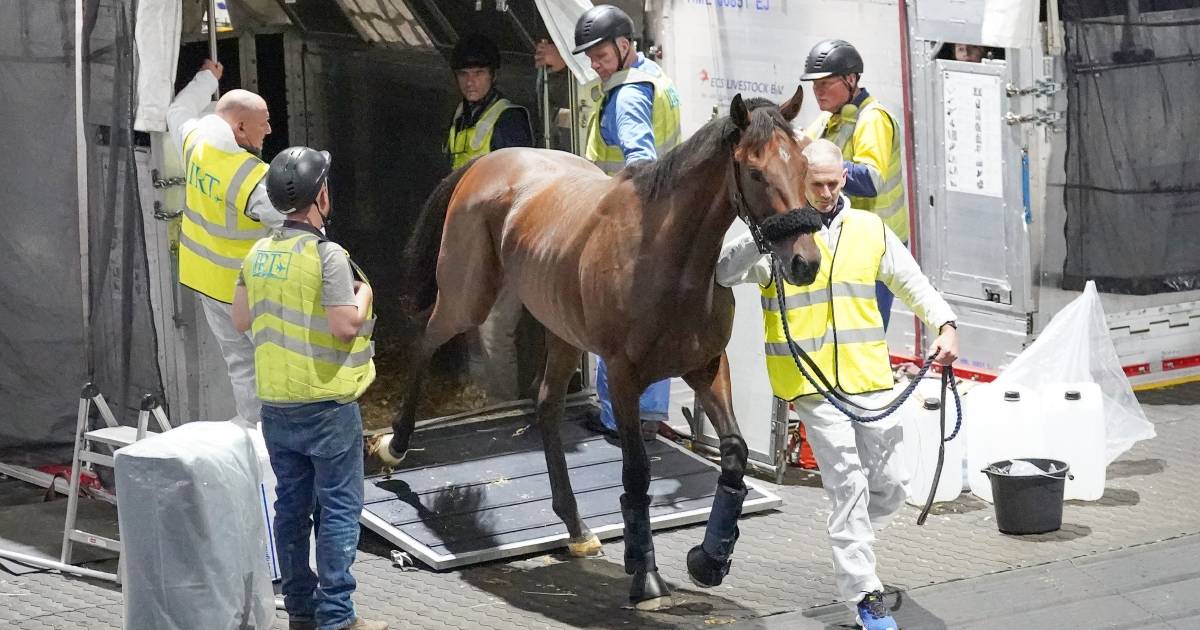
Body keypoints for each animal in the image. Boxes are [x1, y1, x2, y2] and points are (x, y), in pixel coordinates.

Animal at [376, 90, 825, 607]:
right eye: (754, 171)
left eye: (802, 166)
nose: (805, 262)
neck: (669, 262)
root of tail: (489, 162)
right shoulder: (624, 376)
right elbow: (636, 473)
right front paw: (644, 574)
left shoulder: (707, 366)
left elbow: (733, 453)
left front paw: (709, 560)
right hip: (466, 299)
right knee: (426, 341)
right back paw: (396, 444)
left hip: (561, 329)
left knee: (547, 404)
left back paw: (575, 526)